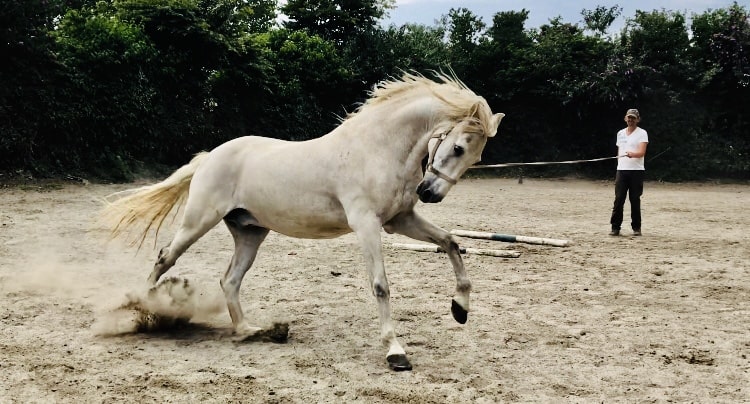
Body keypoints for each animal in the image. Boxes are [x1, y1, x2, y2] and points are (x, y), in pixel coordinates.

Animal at [101, 72, 504, 371]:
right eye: (457, 147)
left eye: (475, 158)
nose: (430, 193)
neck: (377, 147)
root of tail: (210, 156)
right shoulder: (367, 225)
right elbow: (381, 286)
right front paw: (395, 352)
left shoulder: (400, 220)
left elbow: (451, 242)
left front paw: (460, 309)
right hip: (198, 221)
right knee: (165, 257)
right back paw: (148, 313)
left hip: (250, 232)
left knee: (229, 280)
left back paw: (253, 331)